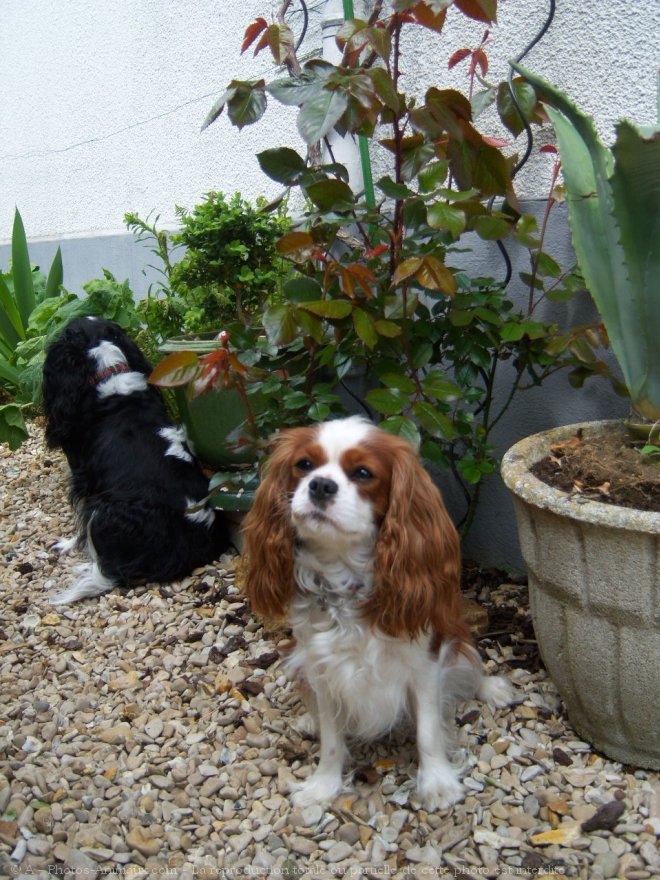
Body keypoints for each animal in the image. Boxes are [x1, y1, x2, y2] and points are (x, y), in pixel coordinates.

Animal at [42, 316, 231, 604]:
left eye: (65, 332)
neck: (110, 372)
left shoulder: (83, 481)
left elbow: (80, 523)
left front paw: (68, 544)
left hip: (104, 508)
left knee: (106, 570)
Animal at [242, 416, 510, 808]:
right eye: (304, 465)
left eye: (363, 473)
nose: (320, 484)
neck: (344, 579)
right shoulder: (322, 669)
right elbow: (332, 737)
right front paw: (323, 785)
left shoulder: (425, 664)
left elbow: (428, 732)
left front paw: (437, 784)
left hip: (457, 639)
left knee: (470, 667)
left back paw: (492, 689)